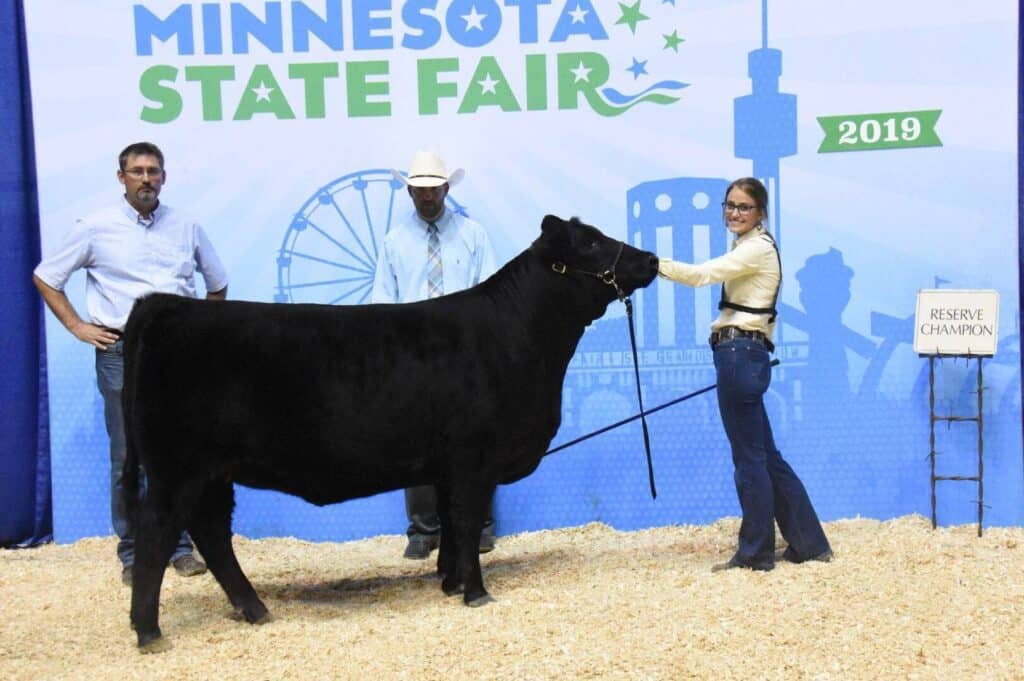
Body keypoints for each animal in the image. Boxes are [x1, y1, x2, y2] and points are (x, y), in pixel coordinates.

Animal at [122, 214, 659, 651]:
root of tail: (163, 305)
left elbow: (450, 524)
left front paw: (450, 583)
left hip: (211, 472)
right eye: (590, 242)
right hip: (176, 468)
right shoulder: (474, 459)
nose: (651, 258)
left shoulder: (446, 465)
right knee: (157, 533)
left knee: (211, 532)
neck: (520, 337)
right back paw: (150, 632)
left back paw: (254, 609)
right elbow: (467, 523)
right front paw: (477, 593)